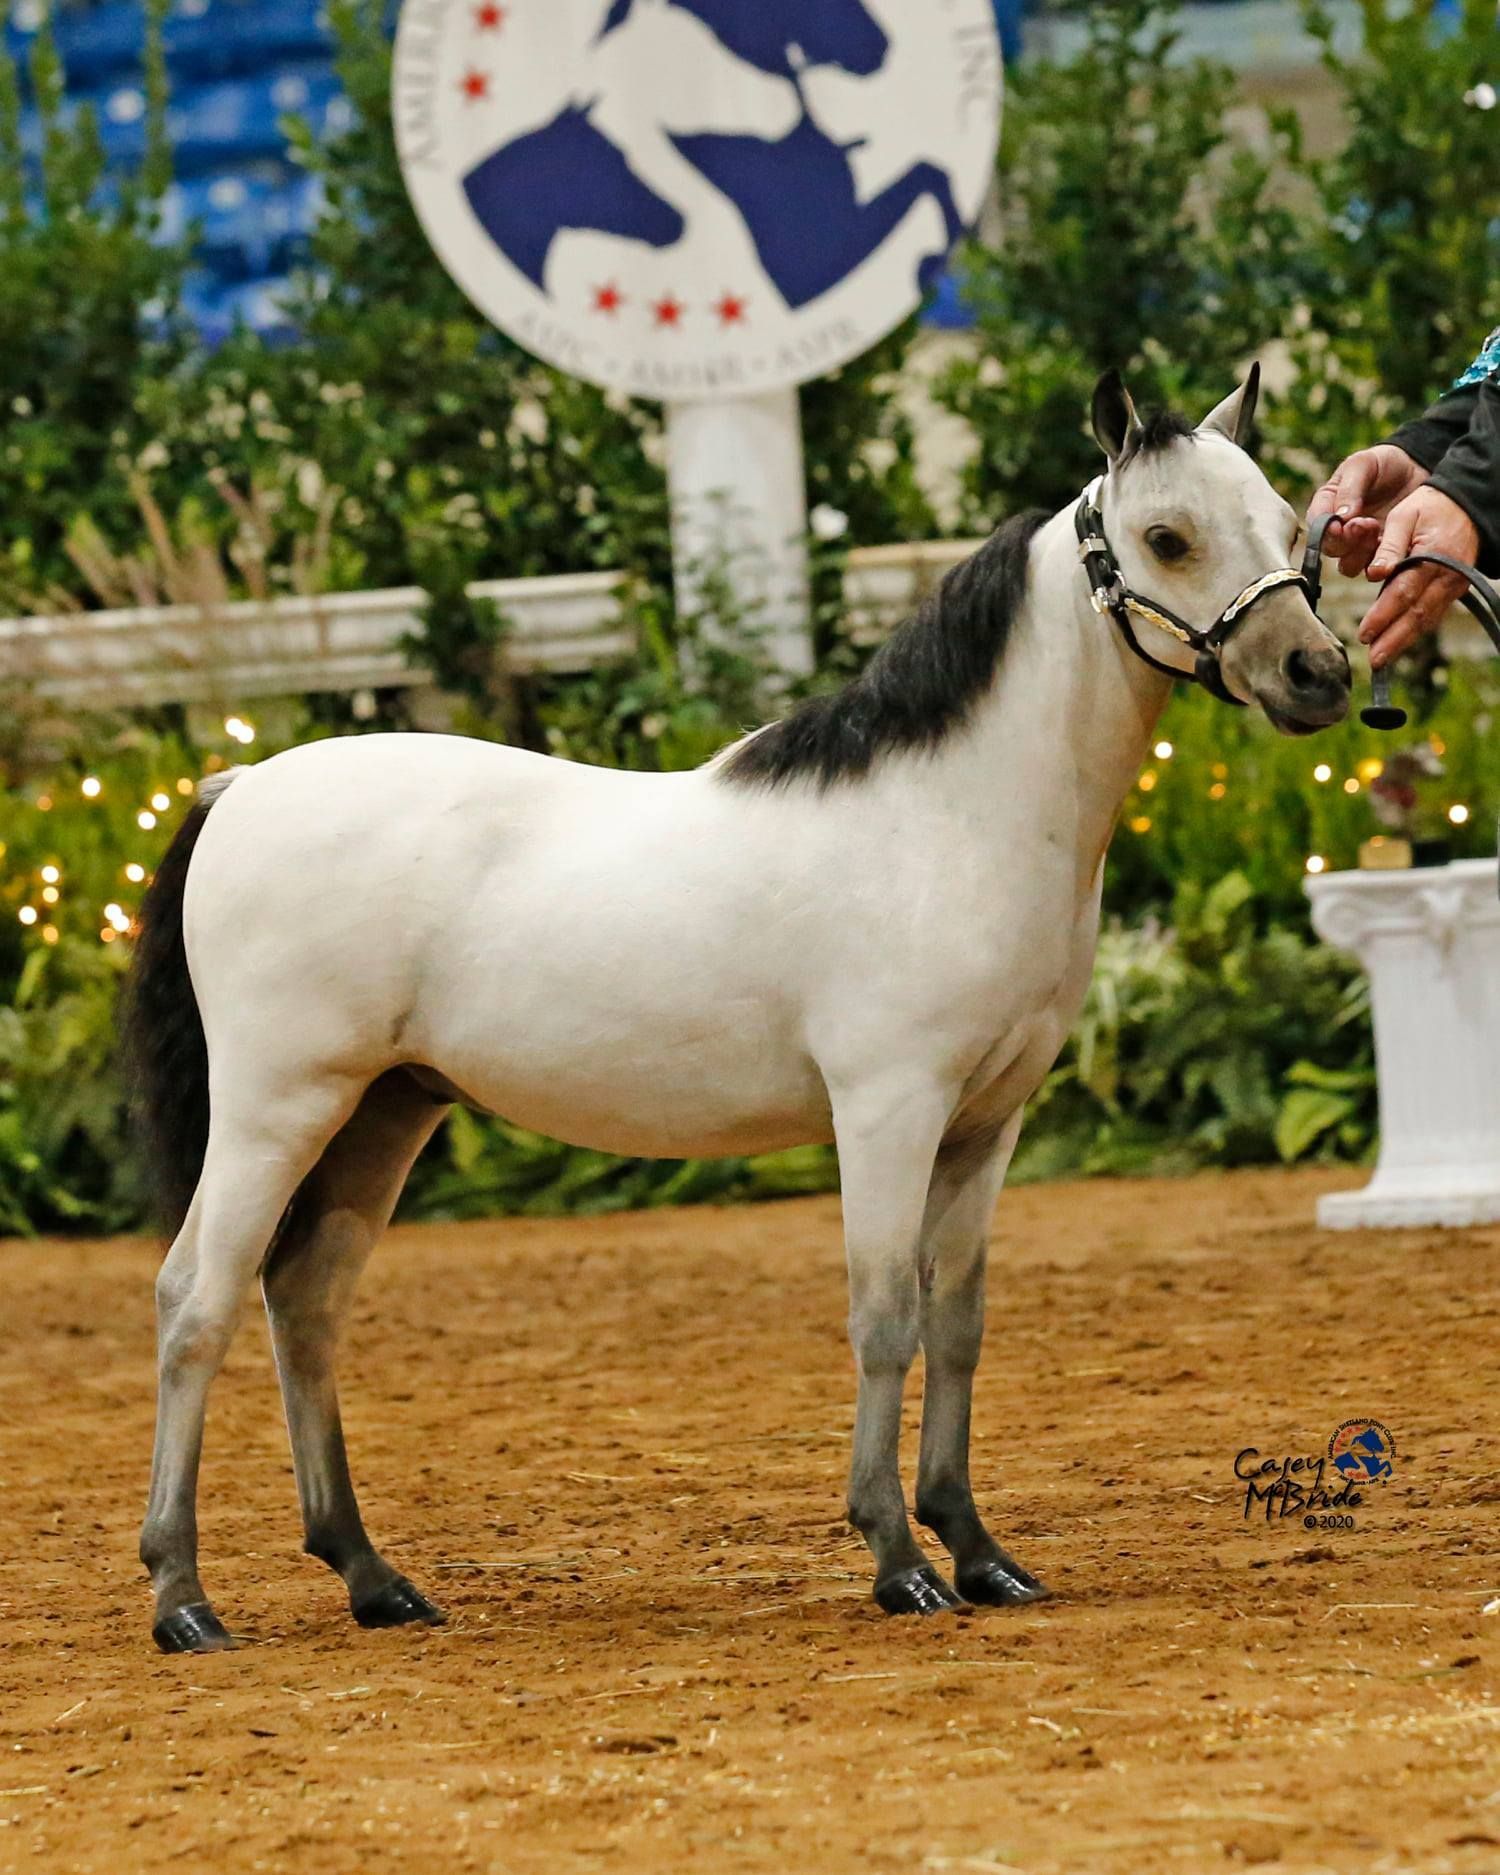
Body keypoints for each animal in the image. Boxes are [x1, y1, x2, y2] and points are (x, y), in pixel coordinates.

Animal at [127, 370, 1351, 1653]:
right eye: (1167, 538)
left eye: (1286, 518)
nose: (1318, 673)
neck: (954, 813)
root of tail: (241, 785)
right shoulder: (887, 1111)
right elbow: (884, 1320)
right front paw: (899, 1562)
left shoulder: (987, 1122)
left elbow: (957, 1322)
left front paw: (980, 1554)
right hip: (277, 1107)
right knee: (195, 1300)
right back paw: (184, 1599)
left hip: (385, 1111)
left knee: (304, 1302)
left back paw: (373, 1579)